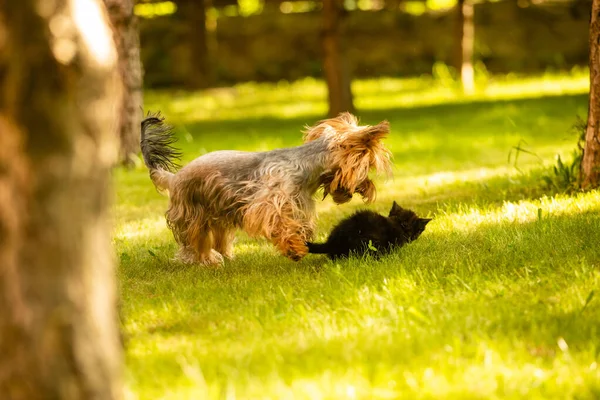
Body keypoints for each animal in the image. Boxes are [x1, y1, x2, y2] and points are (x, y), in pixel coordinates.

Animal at [141, 111, 394, 266]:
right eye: (367, 166)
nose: (368, 188)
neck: (306, 167)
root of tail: (173, 178)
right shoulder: (269, 202)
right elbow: (281, 223)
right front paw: (294, 248)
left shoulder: (299, 203)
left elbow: (300, 224)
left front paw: (302, 239)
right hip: (193, 215)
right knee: (194, 244)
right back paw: (206, 260)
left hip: (219, 216)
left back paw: (226, 256)